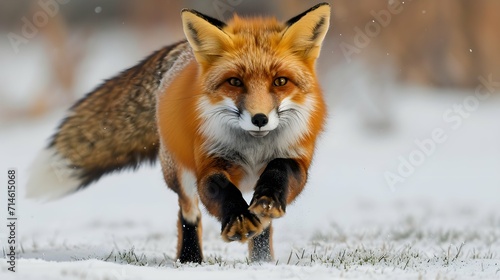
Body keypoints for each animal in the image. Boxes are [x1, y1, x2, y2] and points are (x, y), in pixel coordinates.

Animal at [28, 3, 332, 264]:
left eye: (280, 82)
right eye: (235, 82)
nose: (260, 119)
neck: (253, 150)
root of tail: (181, 50)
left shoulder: (296, 160)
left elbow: (279, 170)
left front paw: (267, 199)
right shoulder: (208, 163)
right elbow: (222, 190)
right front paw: (237, 219)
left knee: (263, 225)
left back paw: (262, 260)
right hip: (179, 173)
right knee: (188, 213)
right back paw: (191, 260)